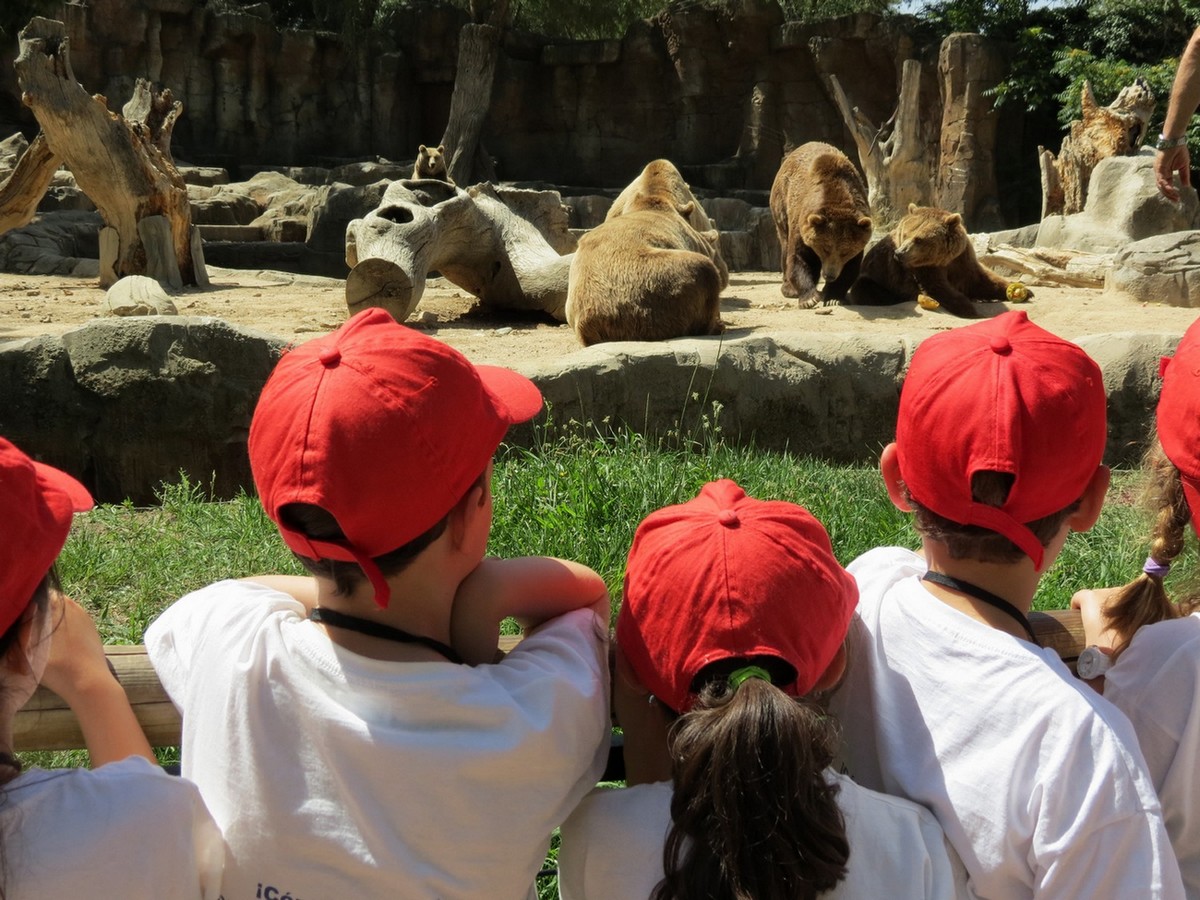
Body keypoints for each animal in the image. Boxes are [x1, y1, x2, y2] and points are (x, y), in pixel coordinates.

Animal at [768, 141, 873, 309]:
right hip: (781, 203)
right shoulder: (801, 223)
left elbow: (850, 268)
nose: (829, 275)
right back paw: (789, 288)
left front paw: (833, 297)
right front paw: (809, 298)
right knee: (784, 244)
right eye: (825, 247)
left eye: (845, 252)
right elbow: (799, 257)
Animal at [844, 204, 1032, 321]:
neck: (944, 259)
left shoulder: (962, 259)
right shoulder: (923, 268)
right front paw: (971, 311)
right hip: (878, 278)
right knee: (864, 287)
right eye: (905, 234)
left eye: (918, 239)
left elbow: (981, 280)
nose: (899, 253)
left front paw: (1025, 291)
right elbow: (938, 288)